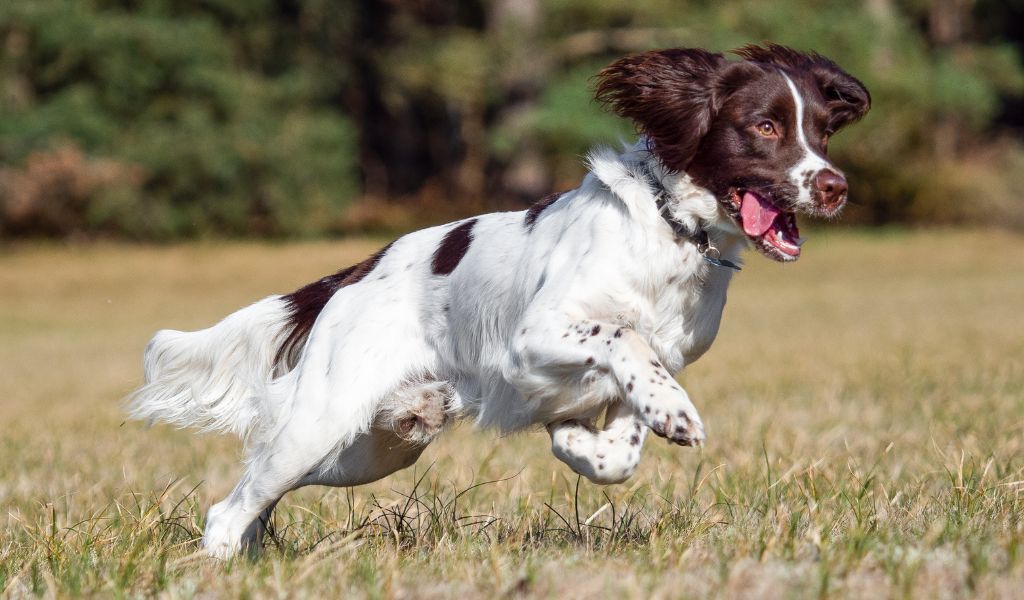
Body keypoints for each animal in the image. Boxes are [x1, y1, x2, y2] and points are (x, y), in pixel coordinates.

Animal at [123, 43, 868, 556]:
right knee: (231, 505)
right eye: (765, 127)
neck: (671, 234)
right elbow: (623, 337)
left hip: (370, 449)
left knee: (258, 492)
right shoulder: (533, 337)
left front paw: (586, 442)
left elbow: (624, 434)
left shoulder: (665, 356)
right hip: (321, 422)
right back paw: (218, 562)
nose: (835, 186)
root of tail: (357, 273)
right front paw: (672, 416)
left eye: (823, 131)